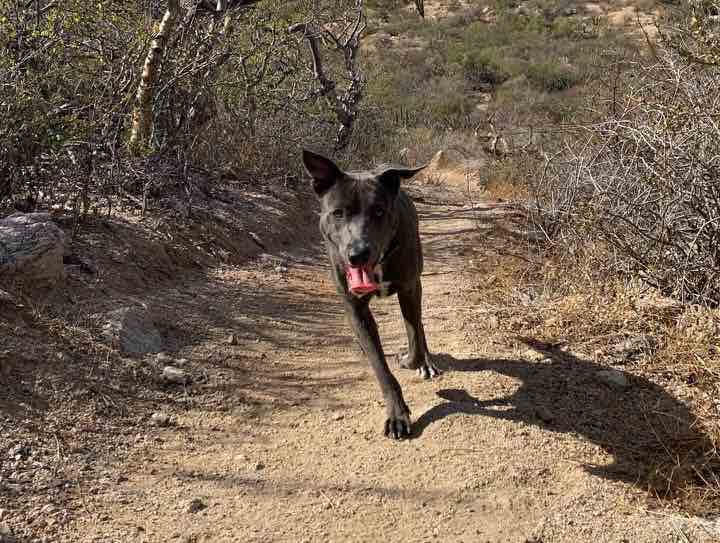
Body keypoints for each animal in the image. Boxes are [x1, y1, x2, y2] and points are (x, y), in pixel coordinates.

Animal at [302, 151, 442, 440]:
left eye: (379, 211)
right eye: (338, 213)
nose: (358, 253)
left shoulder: (409, 288)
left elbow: (414, 334)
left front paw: (412, 360)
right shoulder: (354, 307)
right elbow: (380, 366)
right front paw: (397, 415)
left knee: (419, 326)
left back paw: (426, 362)